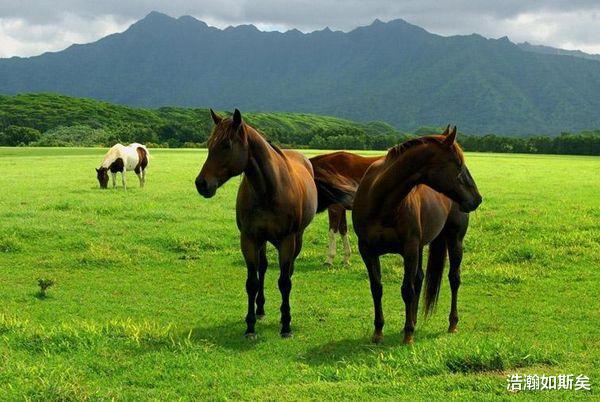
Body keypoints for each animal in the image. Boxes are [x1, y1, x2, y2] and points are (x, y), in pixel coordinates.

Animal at [197, 108, 354, 338]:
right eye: (209, 144)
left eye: (226, 145)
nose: (201, 183)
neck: (268, 190)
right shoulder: (249, 239)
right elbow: (252, 282)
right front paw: (250, 325)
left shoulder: (287, 241)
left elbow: (284, 282)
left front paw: (286, 324)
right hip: (262, 241)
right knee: (262, 269)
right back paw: (260, 309)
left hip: (297, 239)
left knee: (288, 272)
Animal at [352, 126, 482, 346]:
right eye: (458, 164)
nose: (477, 199)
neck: (380, 201)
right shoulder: (367, 250)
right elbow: (377, 288)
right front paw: (378, 331)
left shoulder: (409, 248)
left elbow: (407, 289)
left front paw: (408, 335)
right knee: (420, 278)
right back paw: (412, 320)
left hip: (454, 240)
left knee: (453, 279)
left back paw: (452, 323)